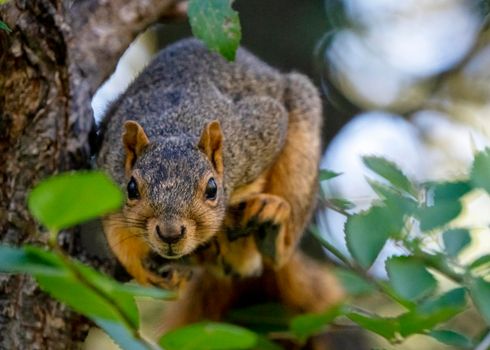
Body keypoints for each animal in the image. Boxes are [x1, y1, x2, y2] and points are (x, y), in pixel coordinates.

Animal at [94, 39, 340, 334]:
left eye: (212, 189)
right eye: (131, 188)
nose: (170, 233)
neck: (174, 126)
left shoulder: (257, 133)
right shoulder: (107, 167)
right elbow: (113, 225)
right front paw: (140, 264)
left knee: (277, 251)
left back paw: (271, 228)